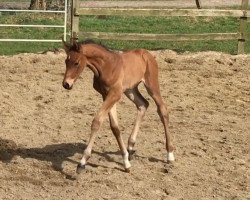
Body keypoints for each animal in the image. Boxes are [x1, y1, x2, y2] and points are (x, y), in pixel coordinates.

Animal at [61, 39, 175, 173]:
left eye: (76, 62)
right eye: (66, 61)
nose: (66, 84)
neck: (106, 66)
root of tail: (146, 53)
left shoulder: (115, 94)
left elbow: (97, 121)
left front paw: (82, 162)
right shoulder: (106, 95)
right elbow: (115, 127)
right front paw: (126, 161)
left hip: (152, 85)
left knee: (162, 110)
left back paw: (170, 155)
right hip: (130, 89)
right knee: (143, 104)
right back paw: (130, 146)